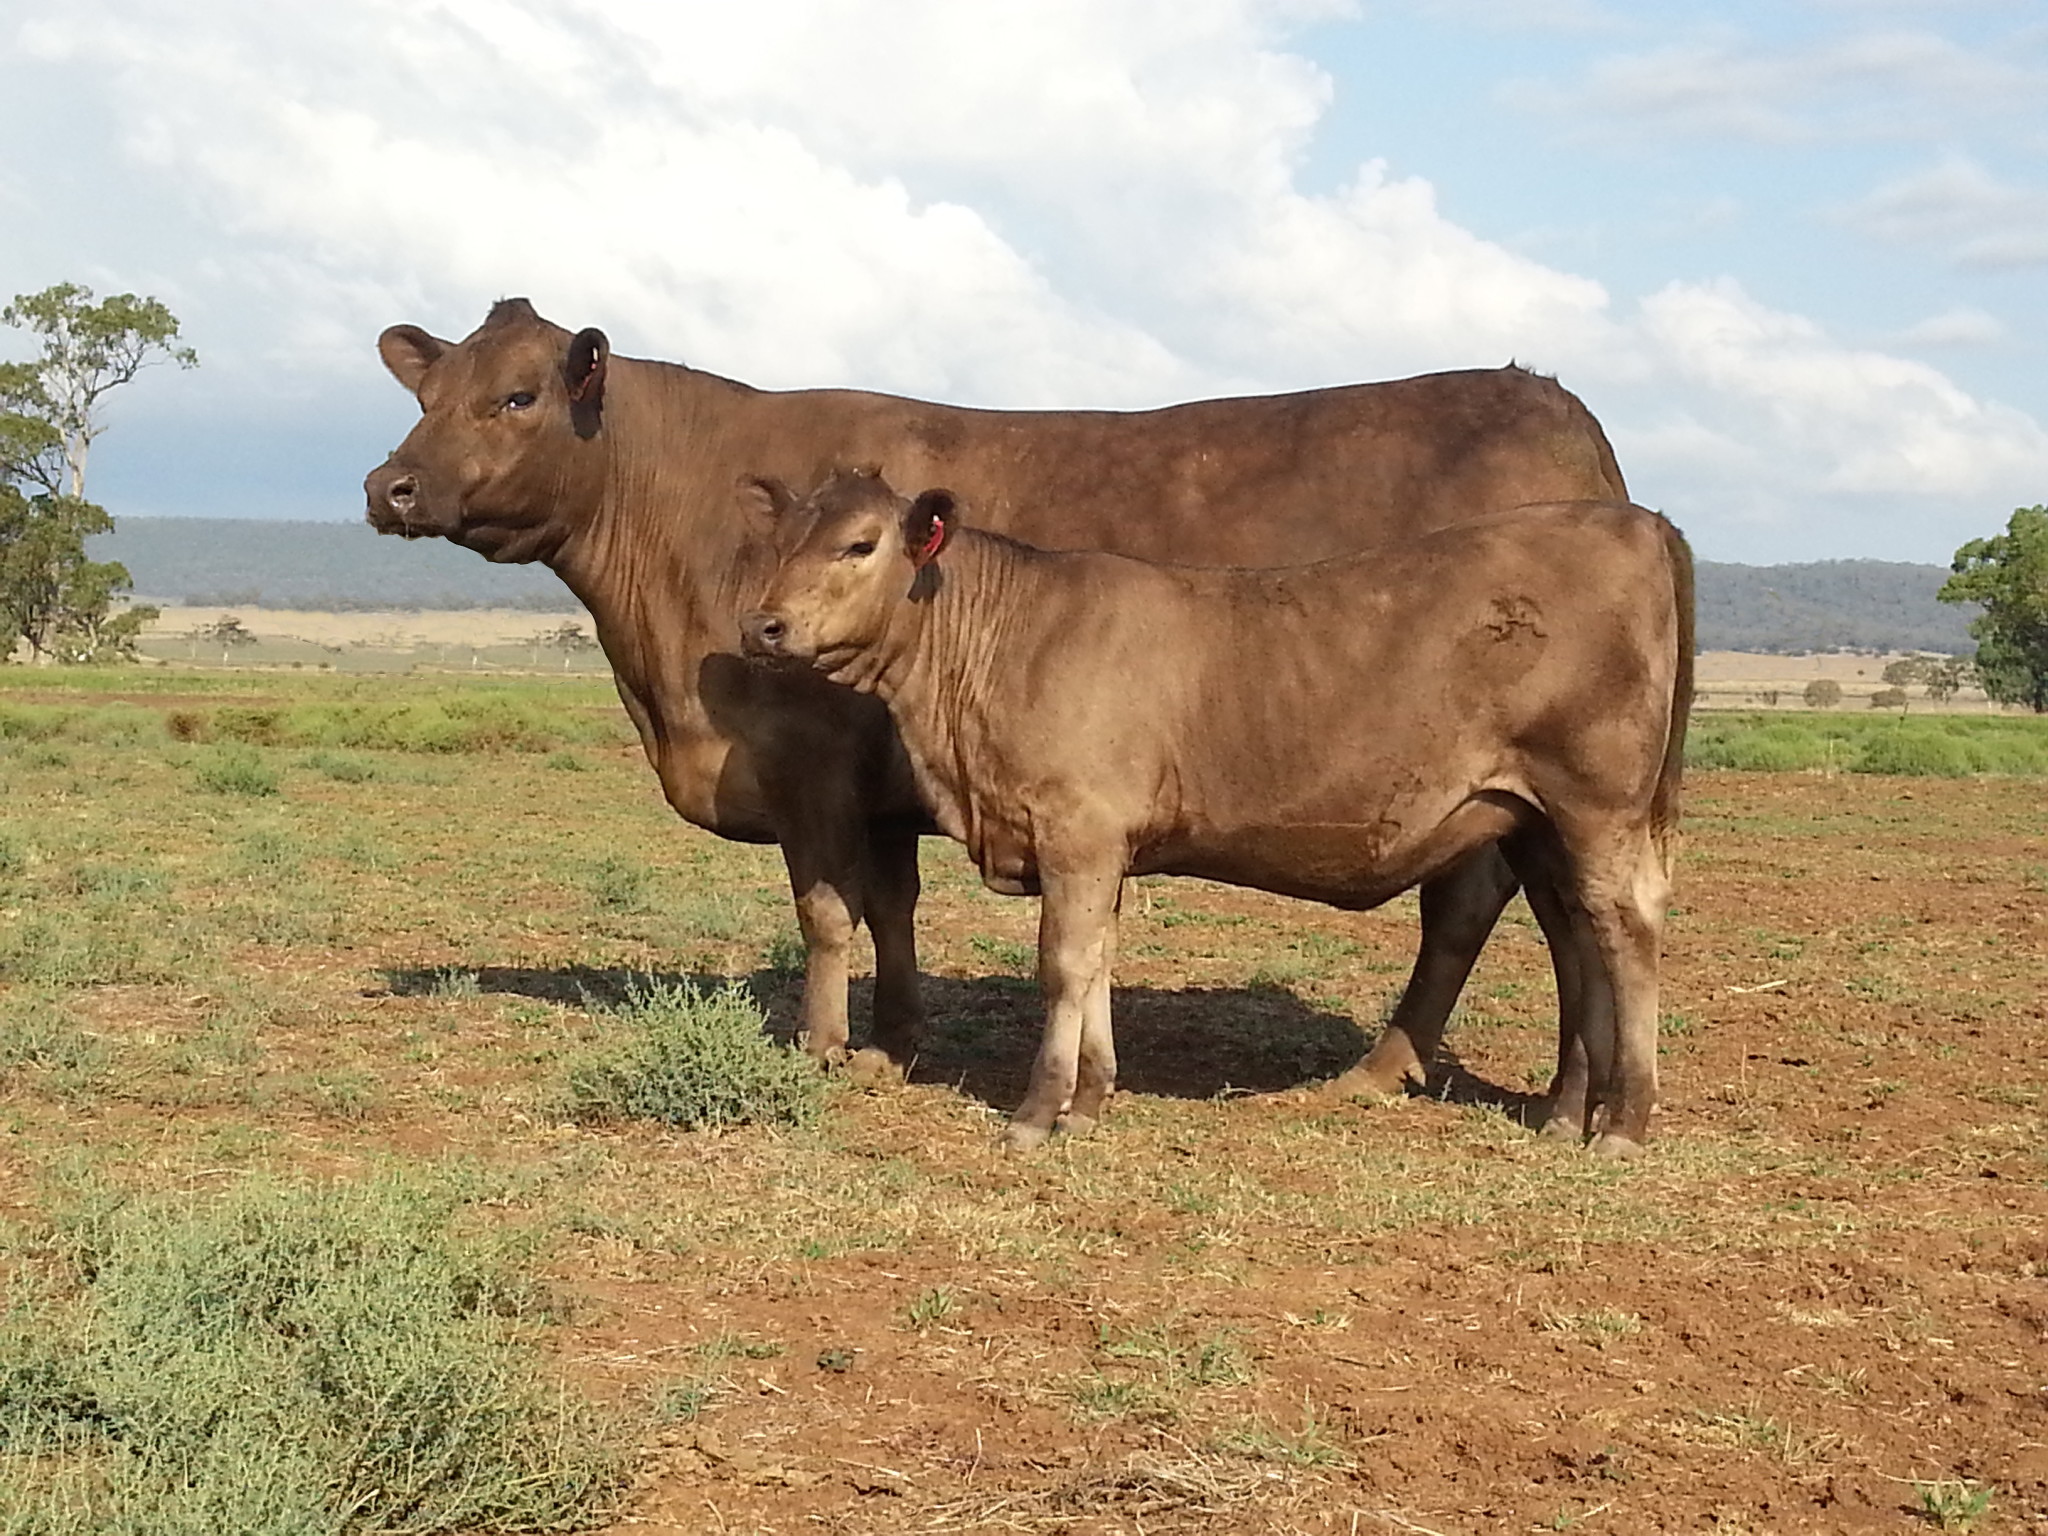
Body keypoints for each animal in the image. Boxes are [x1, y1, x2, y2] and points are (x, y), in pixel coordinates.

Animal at [740, 469, 1693, 1156]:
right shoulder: (1106, 846)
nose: (764, 627)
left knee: (1626, 929)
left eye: (859, 544)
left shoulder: (1077, 829)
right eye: (779, 541)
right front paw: (1093, 1097)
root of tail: (1636, 520)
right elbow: (1099, 962)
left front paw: (1039, 1112)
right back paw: (1567, 1112)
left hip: (1596, 804)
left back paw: (1625, 1122)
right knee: (1576, 942)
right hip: (1533, 820)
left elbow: (1064, 965)